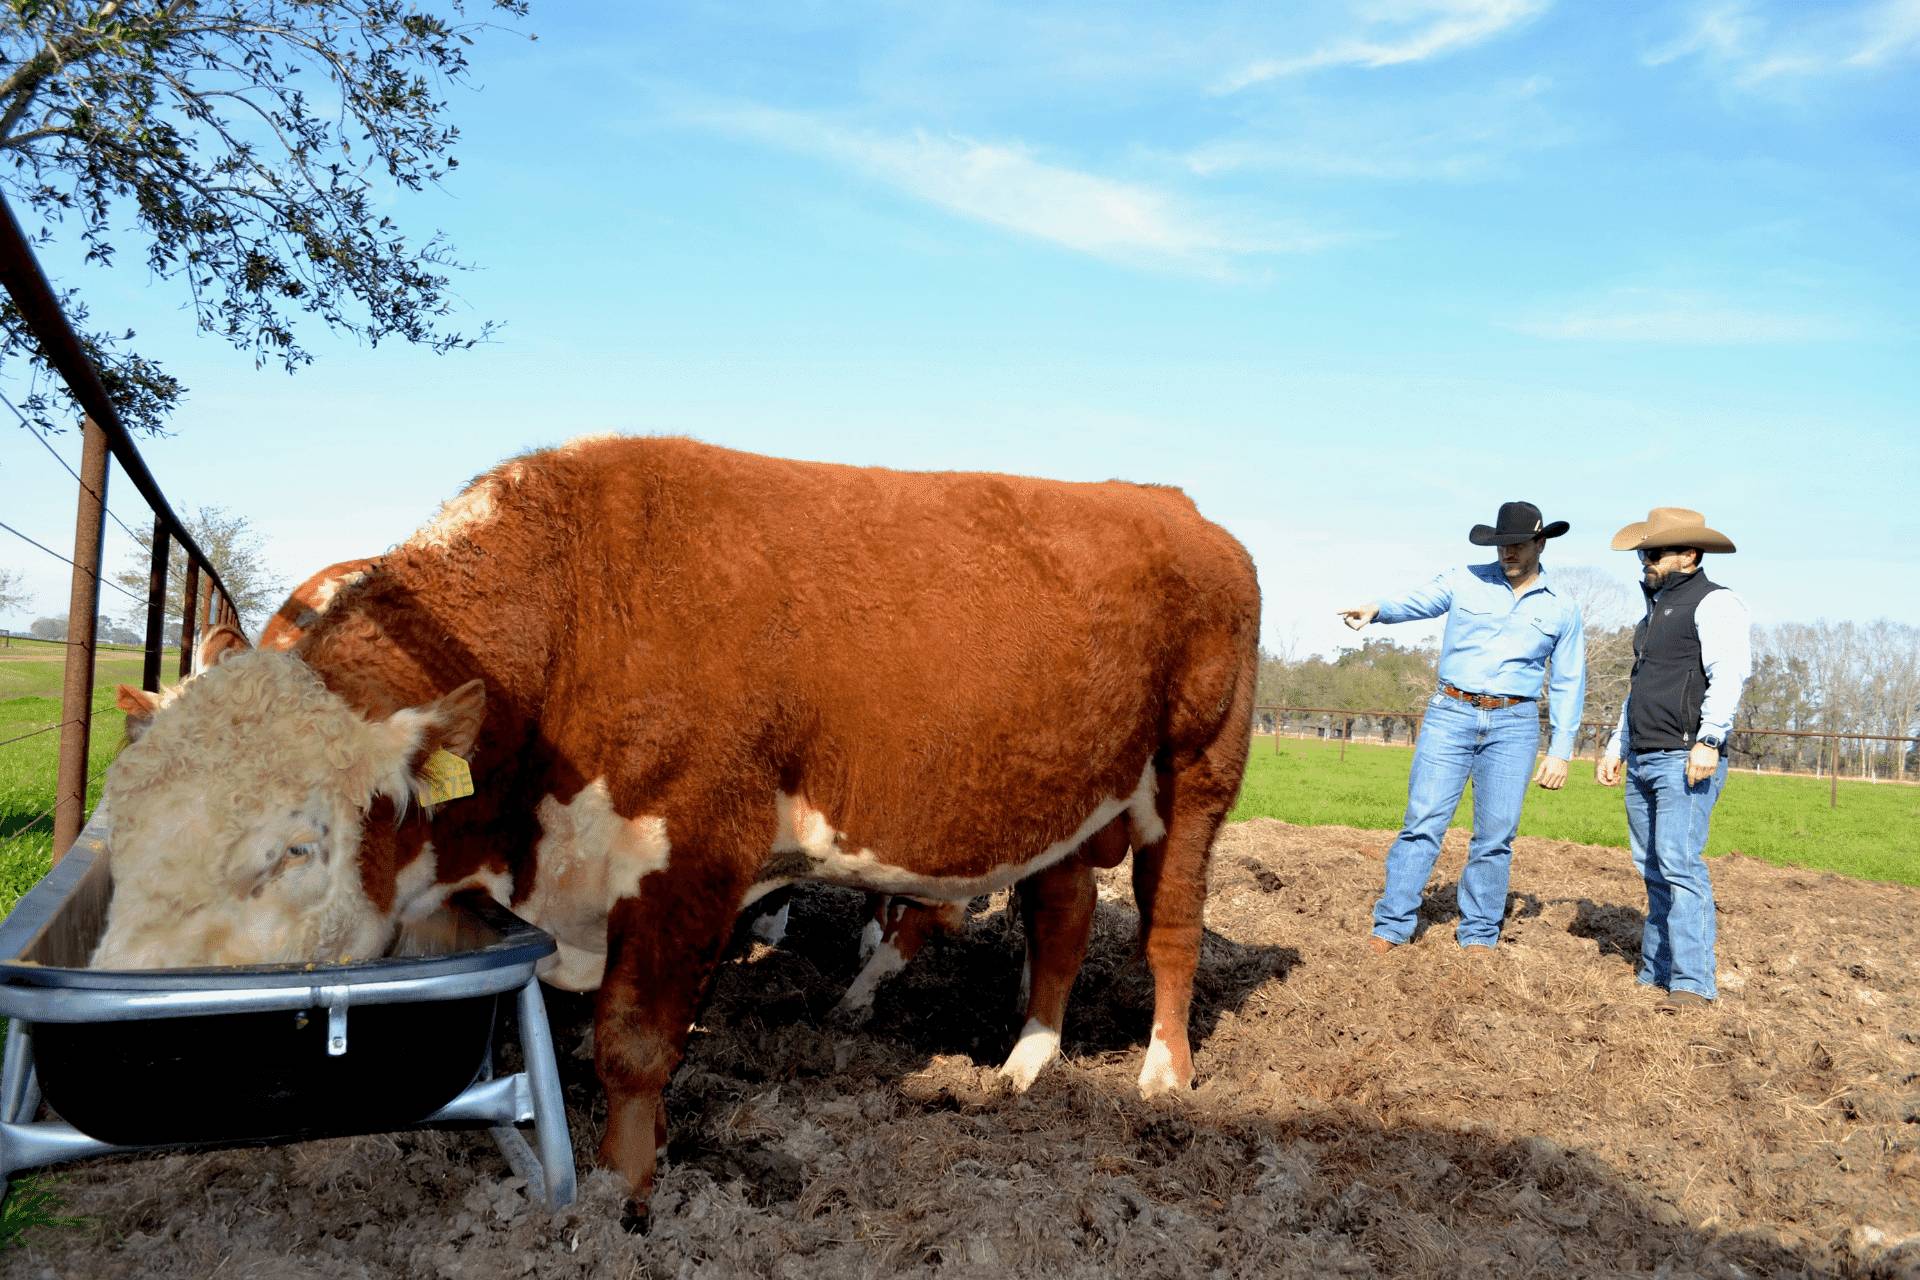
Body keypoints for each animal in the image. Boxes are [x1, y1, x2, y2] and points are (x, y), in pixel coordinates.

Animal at [91, 436, 1260, 1225]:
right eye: (120, 824)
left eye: (293, 847)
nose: (114, 1020)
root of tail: (1177, 506)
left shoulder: (695, 855)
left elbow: (635, 1044)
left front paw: (627, 1194)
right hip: (1065, 803)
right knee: (1058, 922)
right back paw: (1024, 1061)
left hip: (1197, 777)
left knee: (1169, 929)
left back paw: (1162, 1075)